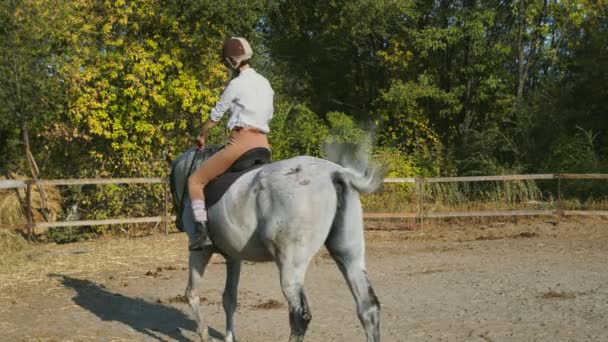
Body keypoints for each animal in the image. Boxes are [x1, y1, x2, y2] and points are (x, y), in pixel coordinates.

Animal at [169, 145, 382, 342]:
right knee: (367, 308)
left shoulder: (200, 252)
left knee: (299, 315)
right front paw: (229, 337)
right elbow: (229, 298)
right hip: (350, 258)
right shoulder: (234, 257)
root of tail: (335, 173)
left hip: (290, 268)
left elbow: (191, 293)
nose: (178, 223)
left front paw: (204, 335)